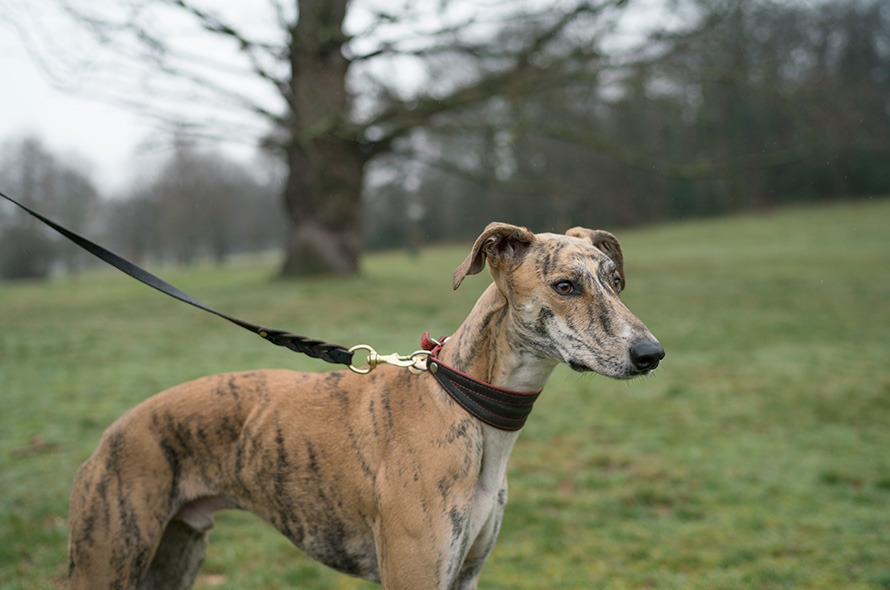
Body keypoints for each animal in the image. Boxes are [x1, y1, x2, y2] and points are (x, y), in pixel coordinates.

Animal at [67, 223, 660, 590]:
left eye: (614, 281)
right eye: (565, 286)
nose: (651, 354)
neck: (464, 406)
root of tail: (109, 434)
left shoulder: (465, 573)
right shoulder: (415, 573)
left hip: (173, 557)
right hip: (107, 560)